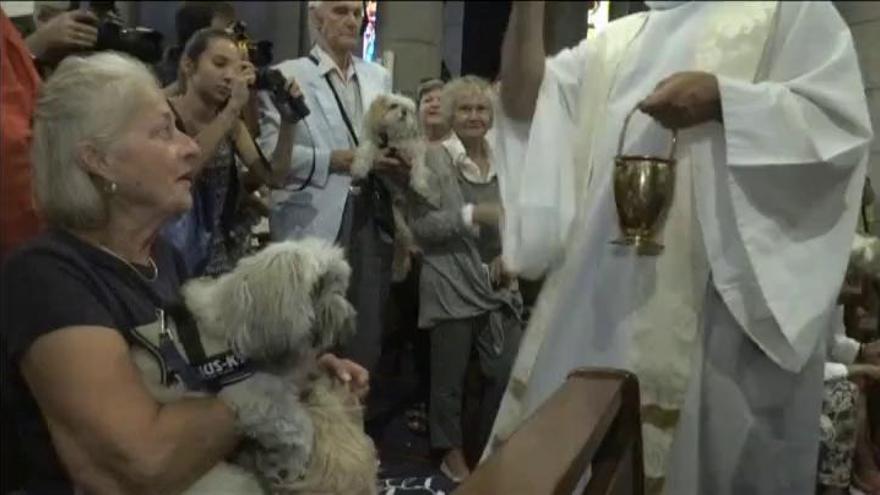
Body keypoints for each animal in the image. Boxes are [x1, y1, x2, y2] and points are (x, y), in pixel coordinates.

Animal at [182, 238, 378, 494]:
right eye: (318, 285)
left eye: (338, 282)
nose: (347, 316)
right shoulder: (256, 399)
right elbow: (300, 424)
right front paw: (290, 463)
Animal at [350, 94, 434, 282]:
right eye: (393, 106)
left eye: (409, 109)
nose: (403, 112)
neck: (394, 140)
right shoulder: (377, 146)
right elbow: (366, 149)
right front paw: (359, 167)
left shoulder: (413, 151)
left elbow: (418, 166)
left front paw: (421, 185)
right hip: (397, 220)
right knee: (403, 240)